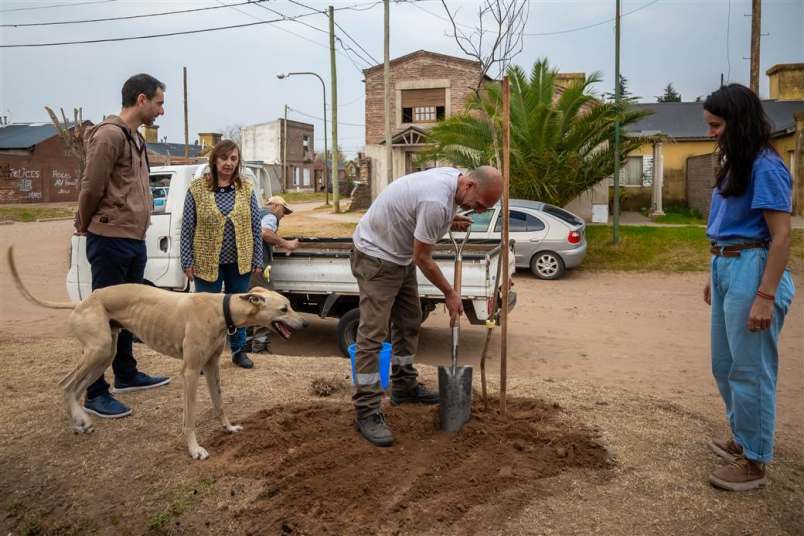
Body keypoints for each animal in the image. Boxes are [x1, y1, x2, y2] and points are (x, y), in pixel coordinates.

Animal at [6, 245, 306, 458]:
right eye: (284, 308)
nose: (303, 323)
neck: (222, 308)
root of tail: (84, 301)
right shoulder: (190, 371)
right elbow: (189, 417)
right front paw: (194, 449)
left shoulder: (210, 366)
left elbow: (219, 403)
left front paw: (229, 428)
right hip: (98, 350)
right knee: (65, 384)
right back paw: (79, 418)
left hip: (104, 353)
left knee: (76, 387)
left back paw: (80, 422)